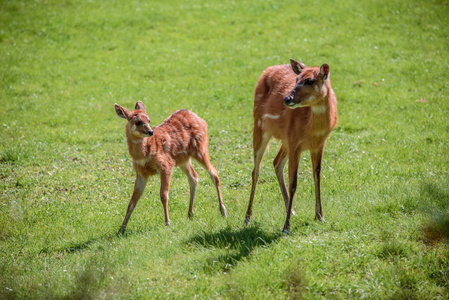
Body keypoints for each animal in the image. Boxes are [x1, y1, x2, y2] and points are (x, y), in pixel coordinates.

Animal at [114, 102, 226, 236]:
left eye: (149, 119)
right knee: (194, 177)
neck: (143, 155)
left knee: (214, 173)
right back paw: (190, 214)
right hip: (183, 159)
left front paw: (168, 222)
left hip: (200, 148)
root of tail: (200, 119)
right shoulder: (141, 173)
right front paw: (121, 229)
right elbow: (132, 201)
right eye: (137, 121)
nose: (150, 131)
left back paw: (223, 211)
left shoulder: (166, 165)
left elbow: (163, 194)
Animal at [245, 58, 336, 232]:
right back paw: (247, 217)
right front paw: (286, 227)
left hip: (284, 140)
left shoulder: (318, 144)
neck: (313, 129)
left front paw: (320, 216)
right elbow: (294, 182)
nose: (287, 99)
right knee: (256, 171)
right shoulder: (295, 143)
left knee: (276, 162)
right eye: (296, 79)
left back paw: (292, 209)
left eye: (310, 81)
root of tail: (266, 70)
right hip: (259, 125)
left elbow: (317, 176)